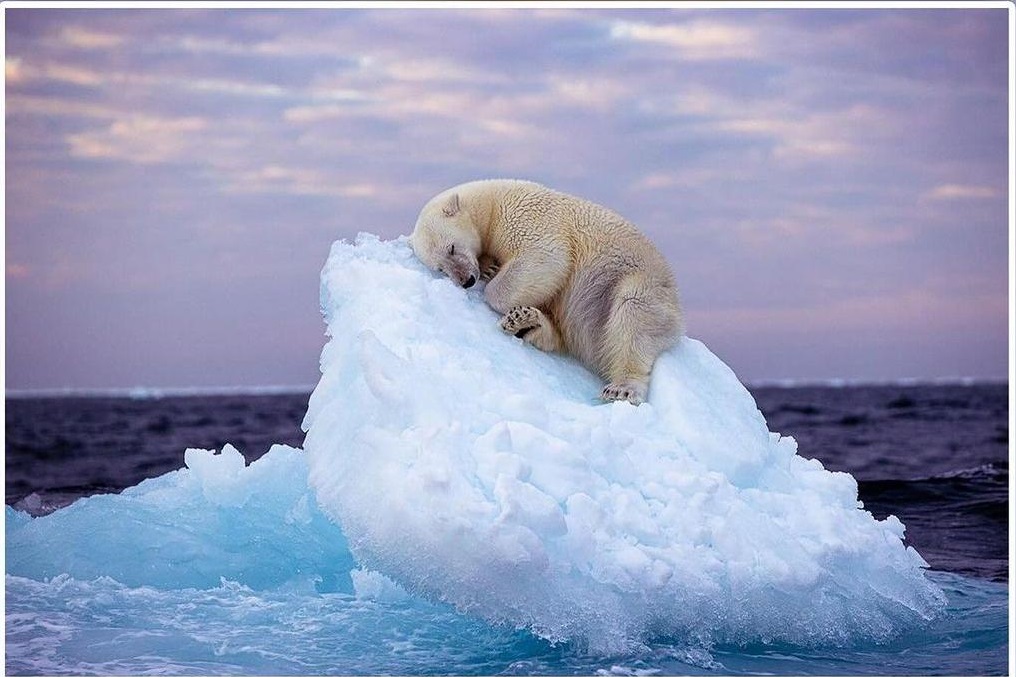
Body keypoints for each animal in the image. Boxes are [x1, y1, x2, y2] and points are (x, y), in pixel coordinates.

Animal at [410, 179, 683, 405]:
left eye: (452, 248)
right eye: (441, 268)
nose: (466, 280)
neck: (491, 203)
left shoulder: (525, 217)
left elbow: (547, 257)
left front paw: (493, 282)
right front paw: (490, 267)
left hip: (637, 283)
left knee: (633, 315)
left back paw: (622, 388)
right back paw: (526, 322)